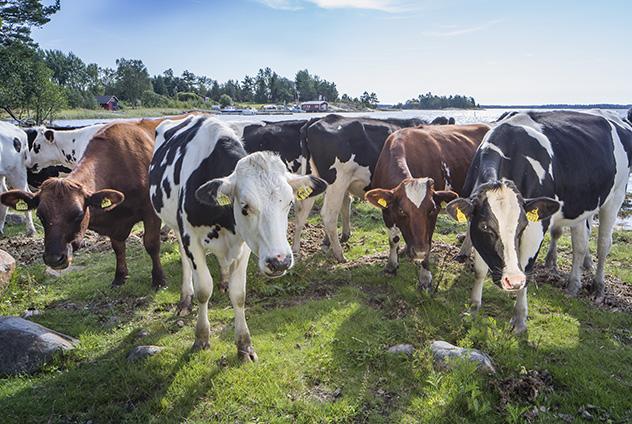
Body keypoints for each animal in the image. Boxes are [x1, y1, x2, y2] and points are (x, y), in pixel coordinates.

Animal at [0, 121, 167, 290]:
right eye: (40, 215)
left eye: (79, 214)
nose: (54, 259)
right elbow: (118, 247)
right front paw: (120, 277)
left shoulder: (151, 212)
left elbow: (151, 244)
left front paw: (159, 280)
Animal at [149, 114, 326, 360]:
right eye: (245, 206)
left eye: (290, 203)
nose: (280, 261)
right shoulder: (190, 237)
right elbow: (204, 289)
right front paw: (201, 338)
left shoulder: (245, 244)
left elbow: (239, 294)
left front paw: (244, 345)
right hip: (175, 225)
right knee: (185, 260)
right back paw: (185, 298)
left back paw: (223, 279)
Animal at [294, 114, 428, 260]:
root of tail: (319, 119)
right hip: (337, 181)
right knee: (329, 215)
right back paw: (339, 254)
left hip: (313, 177)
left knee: (302, 212)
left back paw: (297, 251)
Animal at [362, 124, 492, 290]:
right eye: (401, 211)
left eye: (432, 210)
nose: (418, 252)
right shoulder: (386, 211)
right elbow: (394, 239)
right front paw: (391, 265)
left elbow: (428, 243)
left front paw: (425, 277)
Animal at [444, 111, 632, 332]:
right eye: (485, 226)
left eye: (522, 226)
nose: (511, 280)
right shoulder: (476, 230)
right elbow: (480, 270)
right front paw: (473, 308)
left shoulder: (535, 228)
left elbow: (526, 270)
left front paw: (519, 319)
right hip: (582, 204)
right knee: (580, 244)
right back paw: (573, 284)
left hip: (615, 196)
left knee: (603, 243)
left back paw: (598, 287)